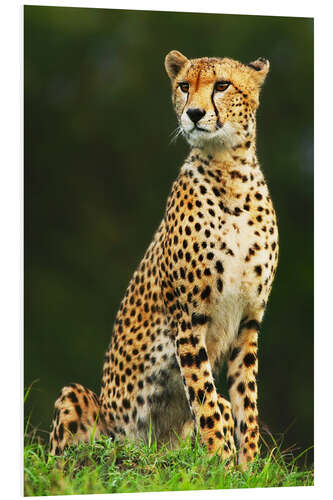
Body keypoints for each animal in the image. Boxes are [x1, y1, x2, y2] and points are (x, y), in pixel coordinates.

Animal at [49, 48, 278, 466]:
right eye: (184, 86)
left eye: (222, 85)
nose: (195, 114)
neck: (229, 171)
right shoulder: (188, 319)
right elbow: (203, 398)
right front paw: (219, 464)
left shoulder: (249, 321)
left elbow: (245, 402)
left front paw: (247, 467)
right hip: (81, 404)